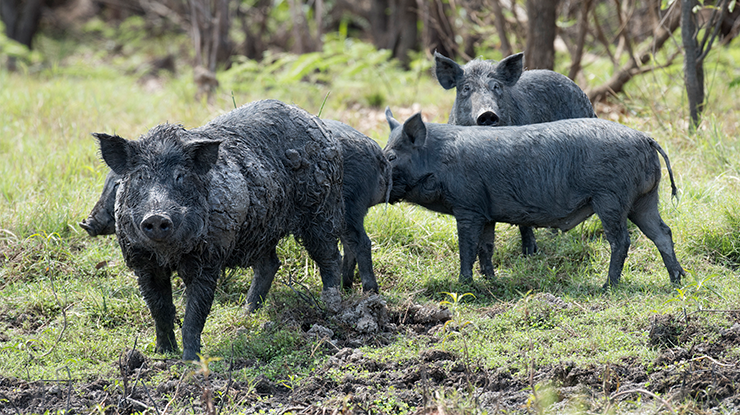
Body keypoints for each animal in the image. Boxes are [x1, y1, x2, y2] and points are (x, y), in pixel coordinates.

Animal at [83, 119, 391, 295]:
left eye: (116, 185)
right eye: (129, 182)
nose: (86, 223)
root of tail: (377, 151)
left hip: (338, 210)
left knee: (357, 243)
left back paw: (364, 293)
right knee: (273, 263)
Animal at [93, 99, 344, 360]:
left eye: (180, 176)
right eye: (140, 177)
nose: (156, 216)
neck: (168, 255)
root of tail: (316, 122)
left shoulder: (208, 259)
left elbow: (195, 313)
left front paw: (190, 361)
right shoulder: (142, 263)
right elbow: (160, 310)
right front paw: (163, 354)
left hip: (321, 208)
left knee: (330, 256)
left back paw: (332, 306)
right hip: (262, 229)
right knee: (270, 264)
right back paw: (247, 314)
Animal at [384, 109, 684, 288]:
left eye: (391, 156)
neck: (438, 161)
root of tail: (645, 138)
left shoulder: (467, 207)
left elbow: (467, 248)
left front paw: (463, 284)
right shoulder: (486, 213)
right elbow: (486, 248)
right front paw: (491, 280)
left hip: (610, 198)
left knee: (621, 239)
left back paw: (607, 286)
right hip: (644, 200)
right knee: (663, 232)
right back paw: (678, 280)